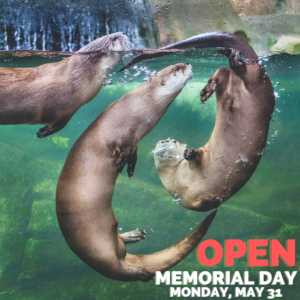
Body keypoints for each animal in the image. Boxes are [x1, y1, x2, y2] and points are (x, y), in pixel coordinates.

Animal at [0, 31, 129, 137]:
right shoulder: (63, 111)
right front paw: (41, 132)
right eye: (115, 37)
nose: (122, 32)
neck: (74, 80)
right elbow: (57, 125)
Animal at [55, 62, 216, 282]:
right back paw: (139, 271)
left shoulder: (135, 141)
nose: (188, 64)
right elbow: (120, 149)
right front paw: (119, 164)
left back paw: (133, 235)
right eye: (175, 68)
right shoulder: (120, 136)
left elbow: (134, 154)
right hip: (98, 247)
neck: (135, 109)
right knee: (117, 267)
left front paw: (130, 168)